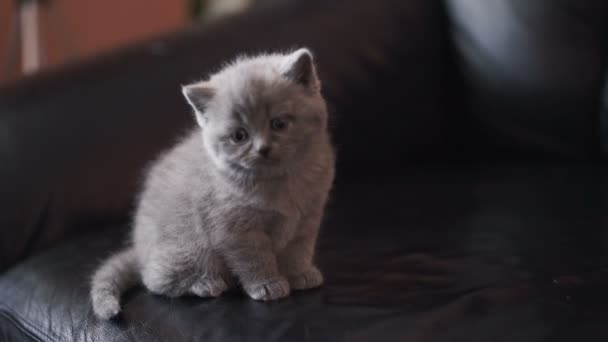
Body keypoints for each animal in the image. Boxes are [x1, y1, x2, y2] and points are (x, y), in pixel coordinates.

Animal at [90, 48, 334, 320]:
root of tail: (139, 251)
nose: (263, 149)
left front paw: (300, 274)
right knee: (154, 279)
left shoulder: (307, 218)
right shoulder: (234, 230)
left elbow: (298, 250)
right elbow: (254, 258)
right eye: (239, 136)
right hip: (192, 247)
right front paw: (267, 285)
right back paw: (204, 284)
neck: (281, 183)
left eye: (279, 124)